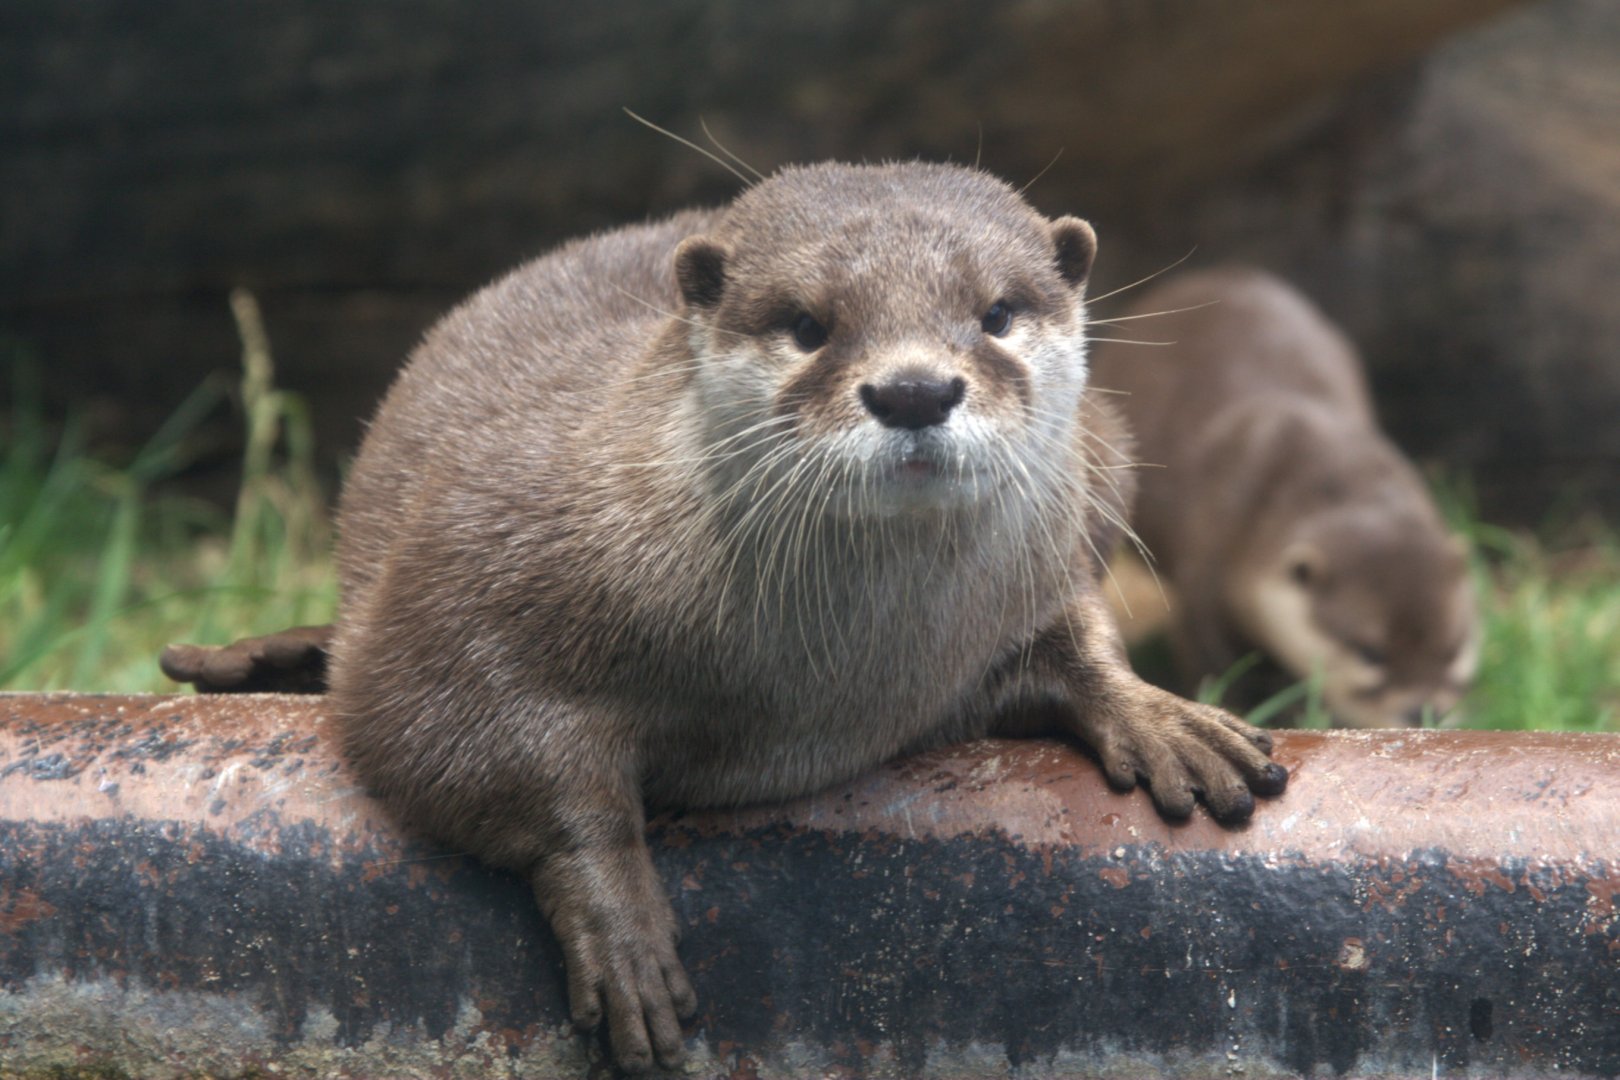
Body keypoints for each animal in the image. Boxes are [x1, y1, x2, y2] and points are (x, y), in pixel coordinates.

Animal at [165, 164, 1286, 1072]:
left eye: (998, 312)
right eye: (808, 324)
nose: (915, 389)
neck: (823, 682)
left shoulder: (1052, 551)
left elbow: (1075, 635)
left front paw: (1162, 718)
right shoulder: (475, 566)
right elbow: (438, 727)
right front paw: (619, 922)